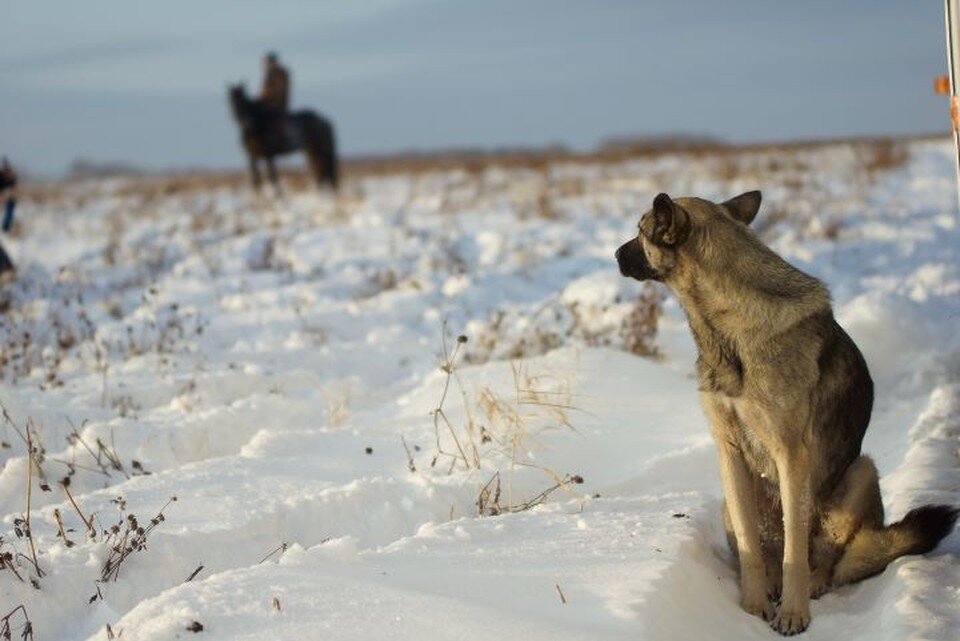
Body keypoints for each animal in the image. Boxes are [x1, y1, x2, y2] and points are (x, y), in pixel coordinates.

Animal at [620, 191, 956, 636]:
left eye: (642, 231)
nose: (615, 254)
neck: (728, 331)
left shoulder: (790, 455)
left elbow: (794, 550)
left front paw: (793, 613)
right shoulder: (729, 452)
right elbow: (750, 546)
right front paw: (752, 606)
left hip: (860, 472)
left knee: (827, 560)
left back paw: (811, 585)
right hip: (731, 502)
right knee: (770, 550)